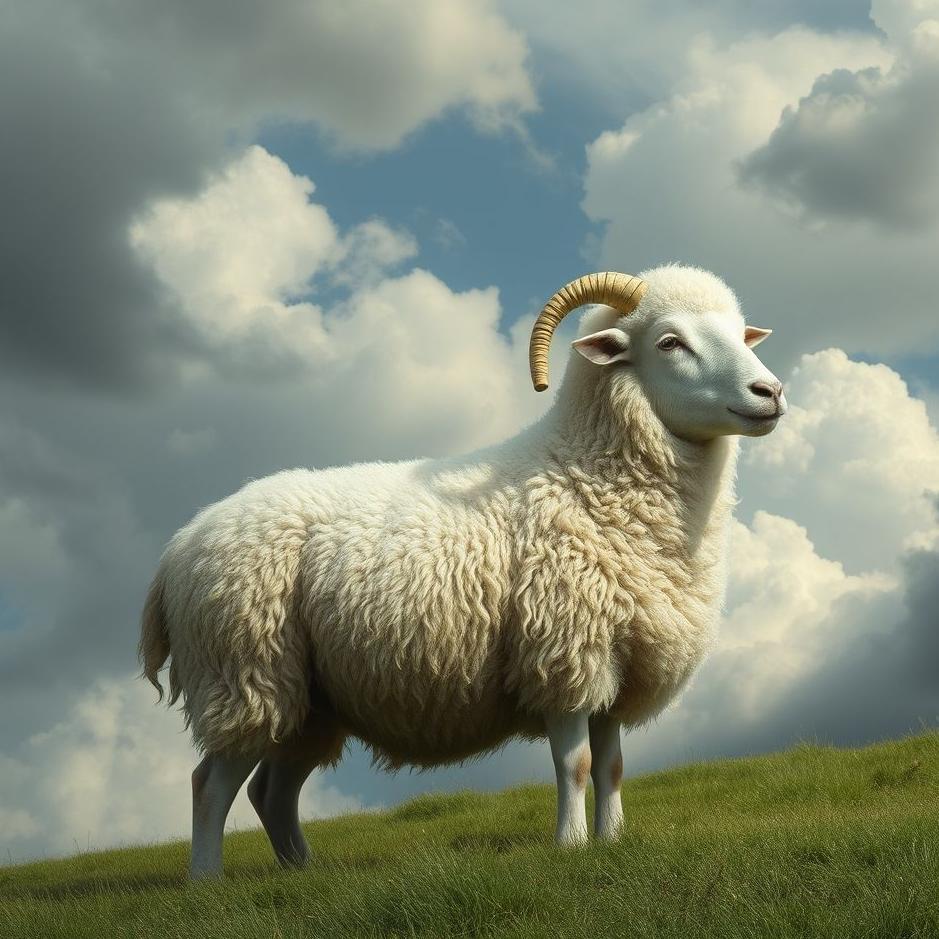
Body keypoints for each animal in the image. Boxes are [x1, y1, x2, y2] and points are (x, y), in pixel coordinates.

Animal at [140, 263, 787, 878]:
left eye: (740, 333)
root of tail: (180, 544)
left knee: (270, 791)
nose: (772, 391)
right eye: (669, 342)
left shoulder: (613, 664)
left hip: (308, 698)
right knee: (211, 784)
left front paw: (613, 842)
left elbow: (612, 767)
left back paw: (302, 873)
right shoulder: (565, 654)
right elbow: (576, 765)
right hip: (243, 669)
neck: (585, 473)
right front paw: (572, 847)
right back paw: (207, 882)